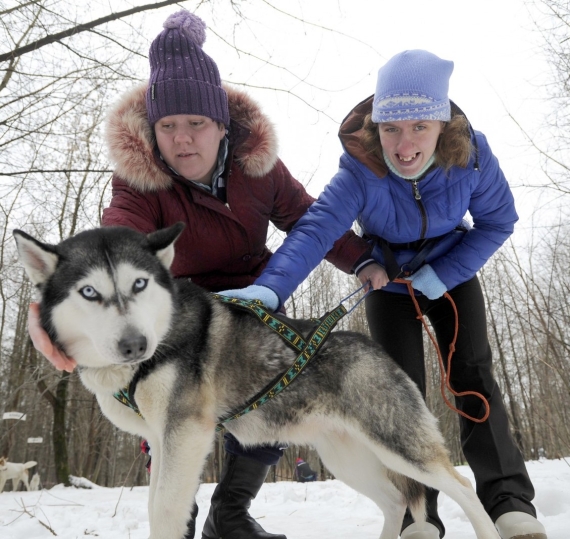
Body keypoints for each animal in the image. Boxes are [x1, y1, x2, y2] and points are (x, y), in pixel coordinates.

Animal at [12, 225, 496, 539]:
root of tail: (370, 345)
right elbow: (159, 502)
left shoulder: (186, 434)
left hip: (397, 444)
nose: (135, 344)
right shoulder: (164, 441)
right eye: (89, 292)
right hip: (346, 458)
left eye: (140, 283)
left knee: (462, 488)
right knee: (397, 501)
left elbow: (164, 509)